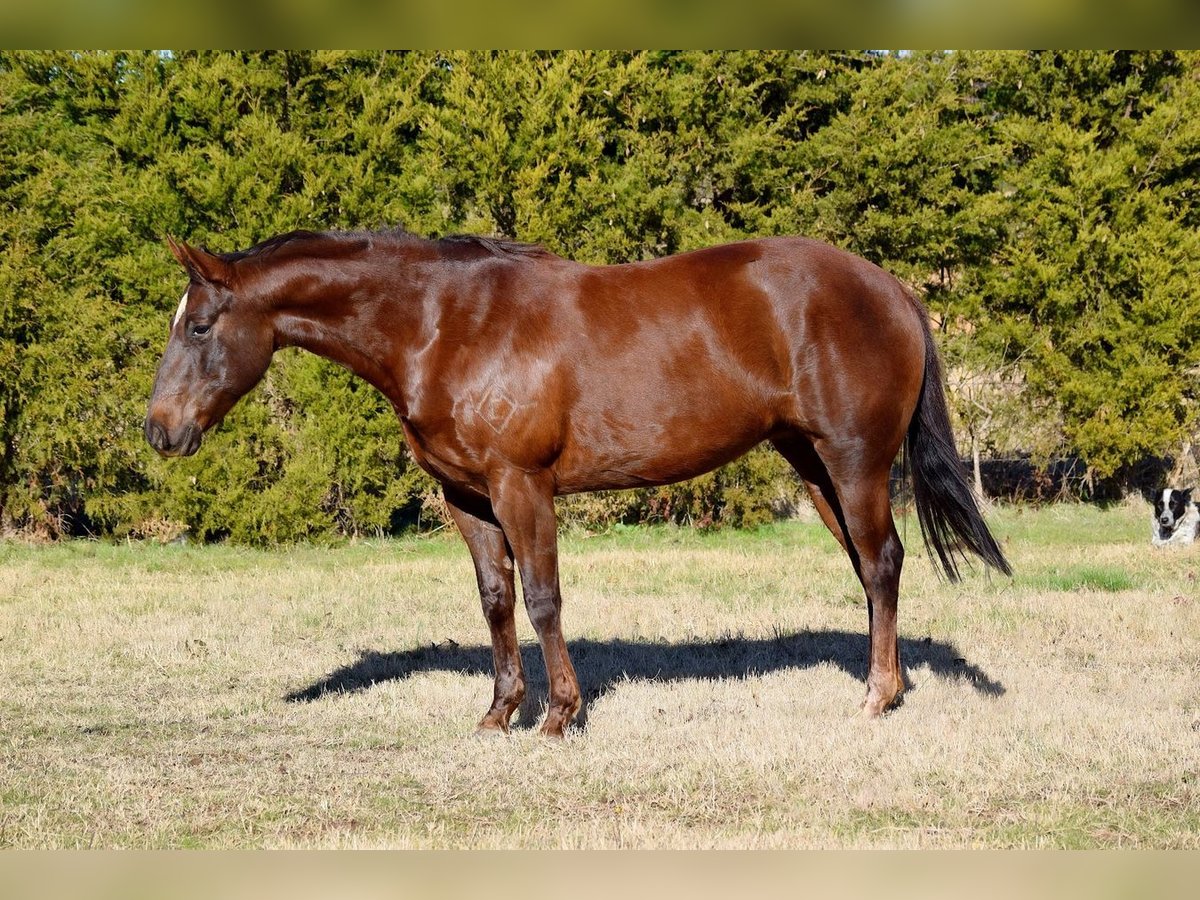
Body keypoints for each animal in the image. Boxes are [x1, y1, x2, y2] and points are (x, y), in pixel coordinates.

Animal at [145, 228, 1011, 737]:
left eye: (200, 326)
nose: (160, 430)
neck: (444, 322)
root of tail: (892, 289)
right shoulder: (468, 497)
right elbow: (496, 601)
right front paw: (499, 712)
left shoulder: (521, 485)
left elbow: (542, 599)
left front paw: (559, 716)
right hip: (813, 463)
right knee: (869, 568)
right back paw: (884, 684)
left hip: (854, 460)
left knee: (882, 562)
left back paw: (877, 696)